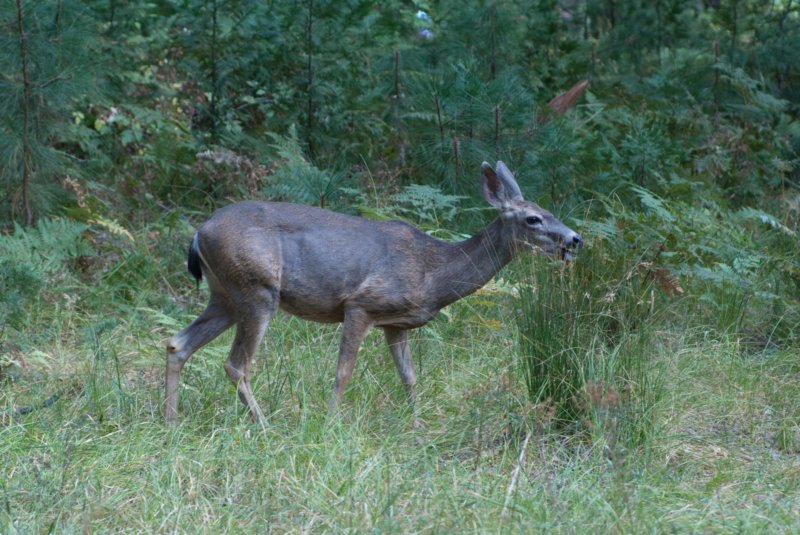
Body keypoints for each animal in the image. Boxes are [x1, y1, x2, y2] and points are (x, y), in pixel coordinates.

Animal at [166, 161, 584, 426]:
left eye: (548, 210)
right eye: (533, 218)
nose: (575, 239)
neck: (432, 273)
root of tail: (199, 233)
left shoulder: (396, 323)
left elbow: (409, 376)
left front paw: (418, 427)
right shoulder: (360, 305)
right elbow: (343, 372)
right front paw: (332, 424)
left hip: (225, 295)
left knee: (177, 343)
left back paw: (171, 422)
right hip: (256, 288)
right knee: (237, 364)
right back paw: (264, 425)